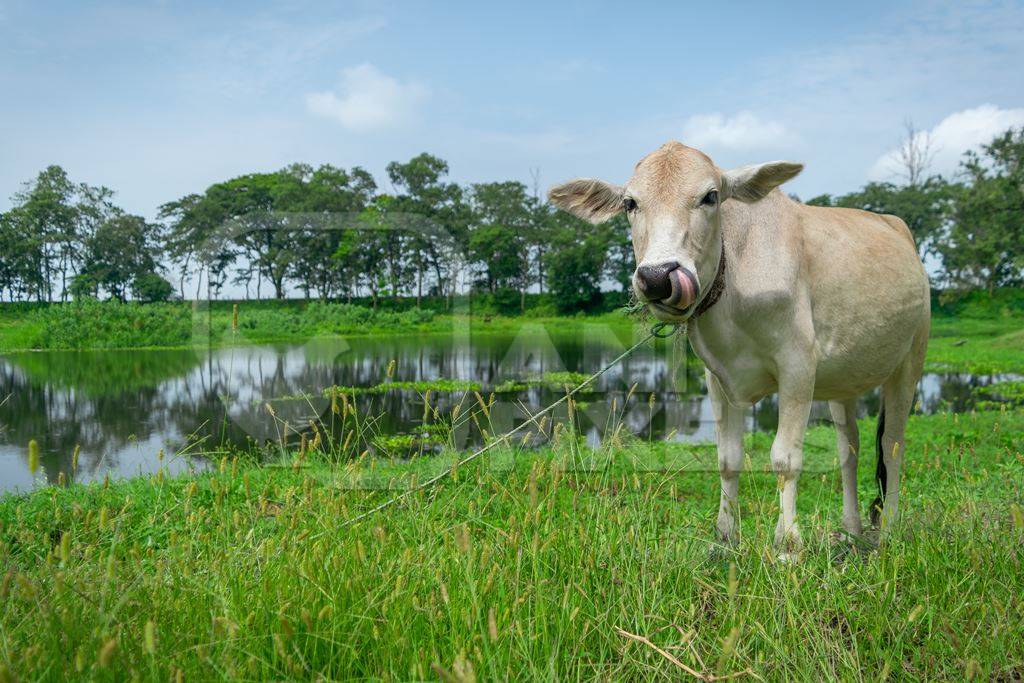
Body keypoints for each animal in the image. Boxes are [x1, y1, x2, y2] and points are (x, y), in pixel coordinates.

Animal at [548, 141, 933, 557]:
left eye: (710, 196)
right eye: (630, 203)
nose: (657, 277)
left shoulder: (798, 366)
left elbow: (785, 458)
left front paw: (788, 542)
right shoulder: (717, 378)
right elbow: (727, 458)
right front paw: (725, 536)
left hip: (911, 360)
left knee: (893, 445)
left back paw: (889, 528)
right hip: (841, 383)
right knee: (850, 449)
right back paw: (851, 529)